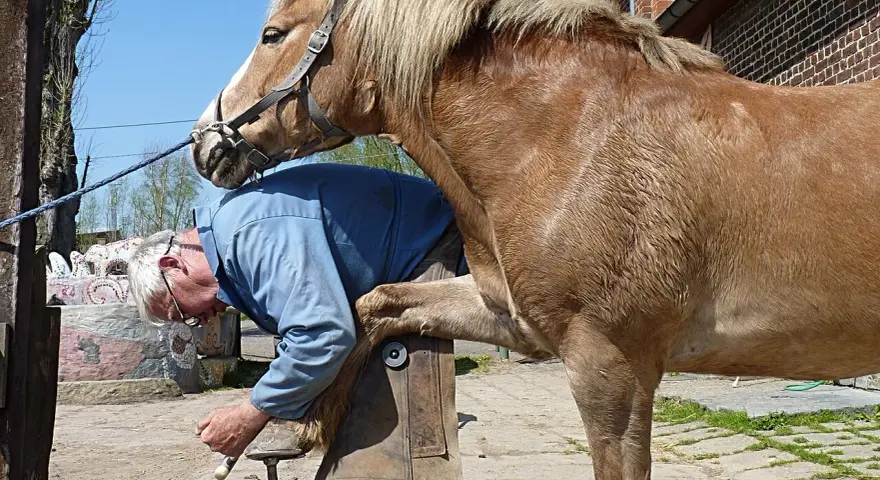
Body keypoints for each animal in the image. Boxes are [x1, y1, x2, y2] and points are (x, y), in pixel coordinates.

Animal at [189, 0, 880, 477]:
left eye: (273, 34)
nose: (203, 142)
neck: (572, 136)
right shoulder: (512, 319)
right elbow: (374, 305)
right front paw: (306, 424)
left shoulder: (611, 367)